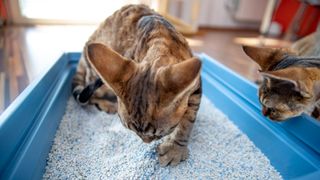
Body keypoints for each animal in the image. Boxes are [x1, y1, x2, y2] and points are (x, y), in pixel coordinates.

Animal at [71, 4, 201, 167]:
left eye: (158, 134)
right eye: (132, 131)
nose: (145, 141)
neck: (161, 40)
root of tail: (82, 58)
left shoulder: (196, 86)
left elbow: (188, 120)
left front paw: (176, 148)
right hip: (99, 81)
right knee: (89, 95)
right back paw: (107, 104)